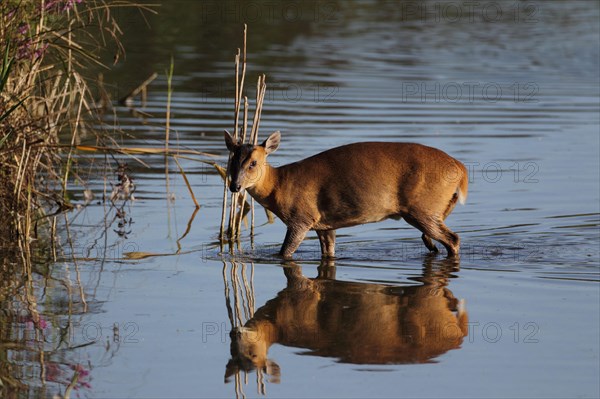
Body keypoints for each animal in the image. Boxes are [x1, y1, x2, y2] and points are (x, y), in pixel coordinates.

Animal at [225, 131, 468, 260]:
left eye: (253, 163)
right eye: (231, 160)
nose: (235, 186)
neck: (279, 185)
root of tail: (460, 169)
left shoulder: (301, 217)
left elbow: (285, 252)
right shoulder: (324, 224)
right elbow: (329, 252)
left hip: (423, 208)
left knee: (453, 239)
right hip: (436, 208)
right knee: (435, 238)